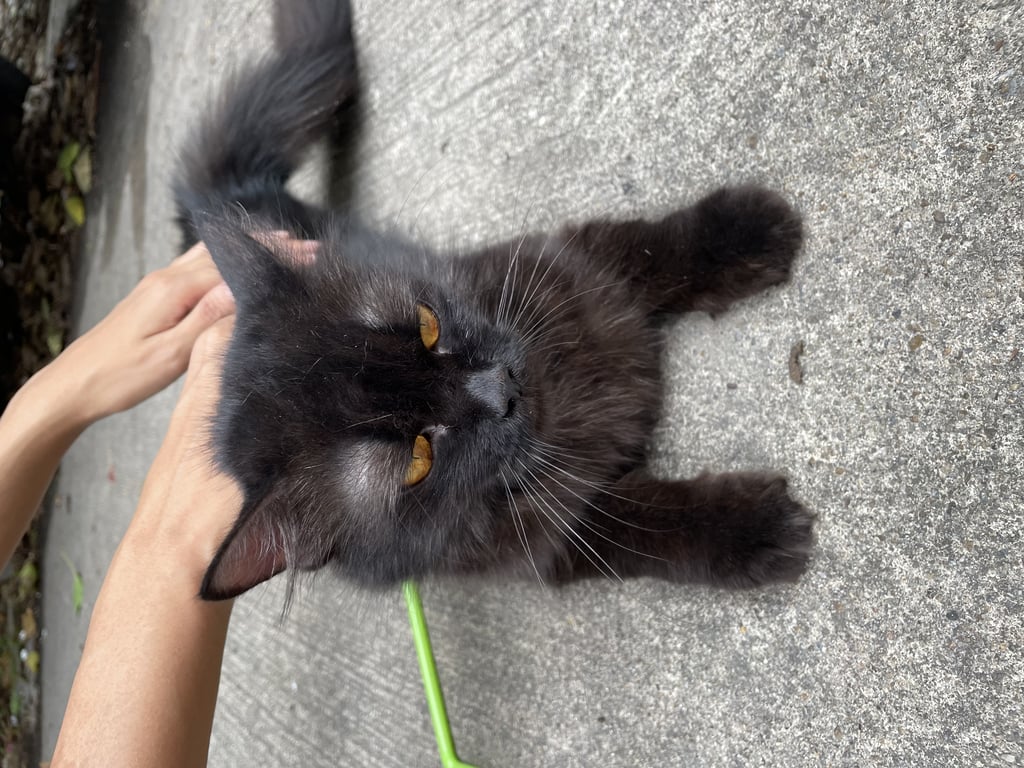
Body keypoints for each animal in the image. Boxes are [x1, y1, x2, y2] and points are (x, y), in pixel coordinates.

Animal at [175, 0, 815, 600]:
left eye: (428, 325)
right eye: (418, 461)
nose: (501, 387)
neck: (569, 390)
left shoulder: (577, 258)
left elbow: (660, 248)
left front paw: (750, 231)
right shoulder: (563, 538)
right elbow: (652, 528)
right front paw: (753, 530)